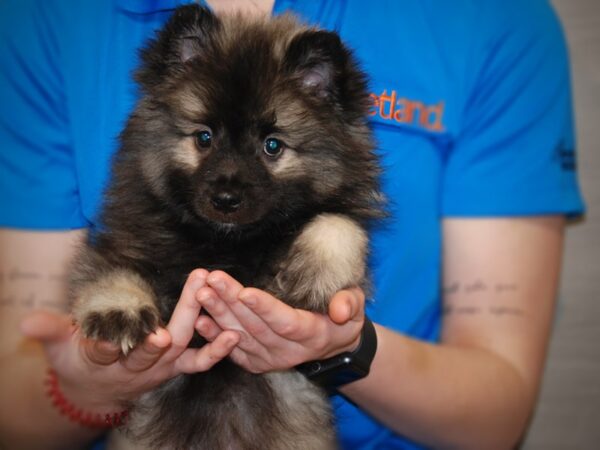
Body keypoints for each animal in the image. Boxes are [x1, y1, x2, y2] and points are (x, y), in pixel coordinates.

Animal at [69, 4, 384, 450]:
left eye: (273, 145)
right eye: (204, 137)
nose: (226, 198)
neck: (227, 243)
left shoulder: (342, 214)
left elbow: (340, 224)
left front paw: (312, 272)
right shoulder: (128, 239)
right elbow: (112, 268)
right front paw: (118, 308)